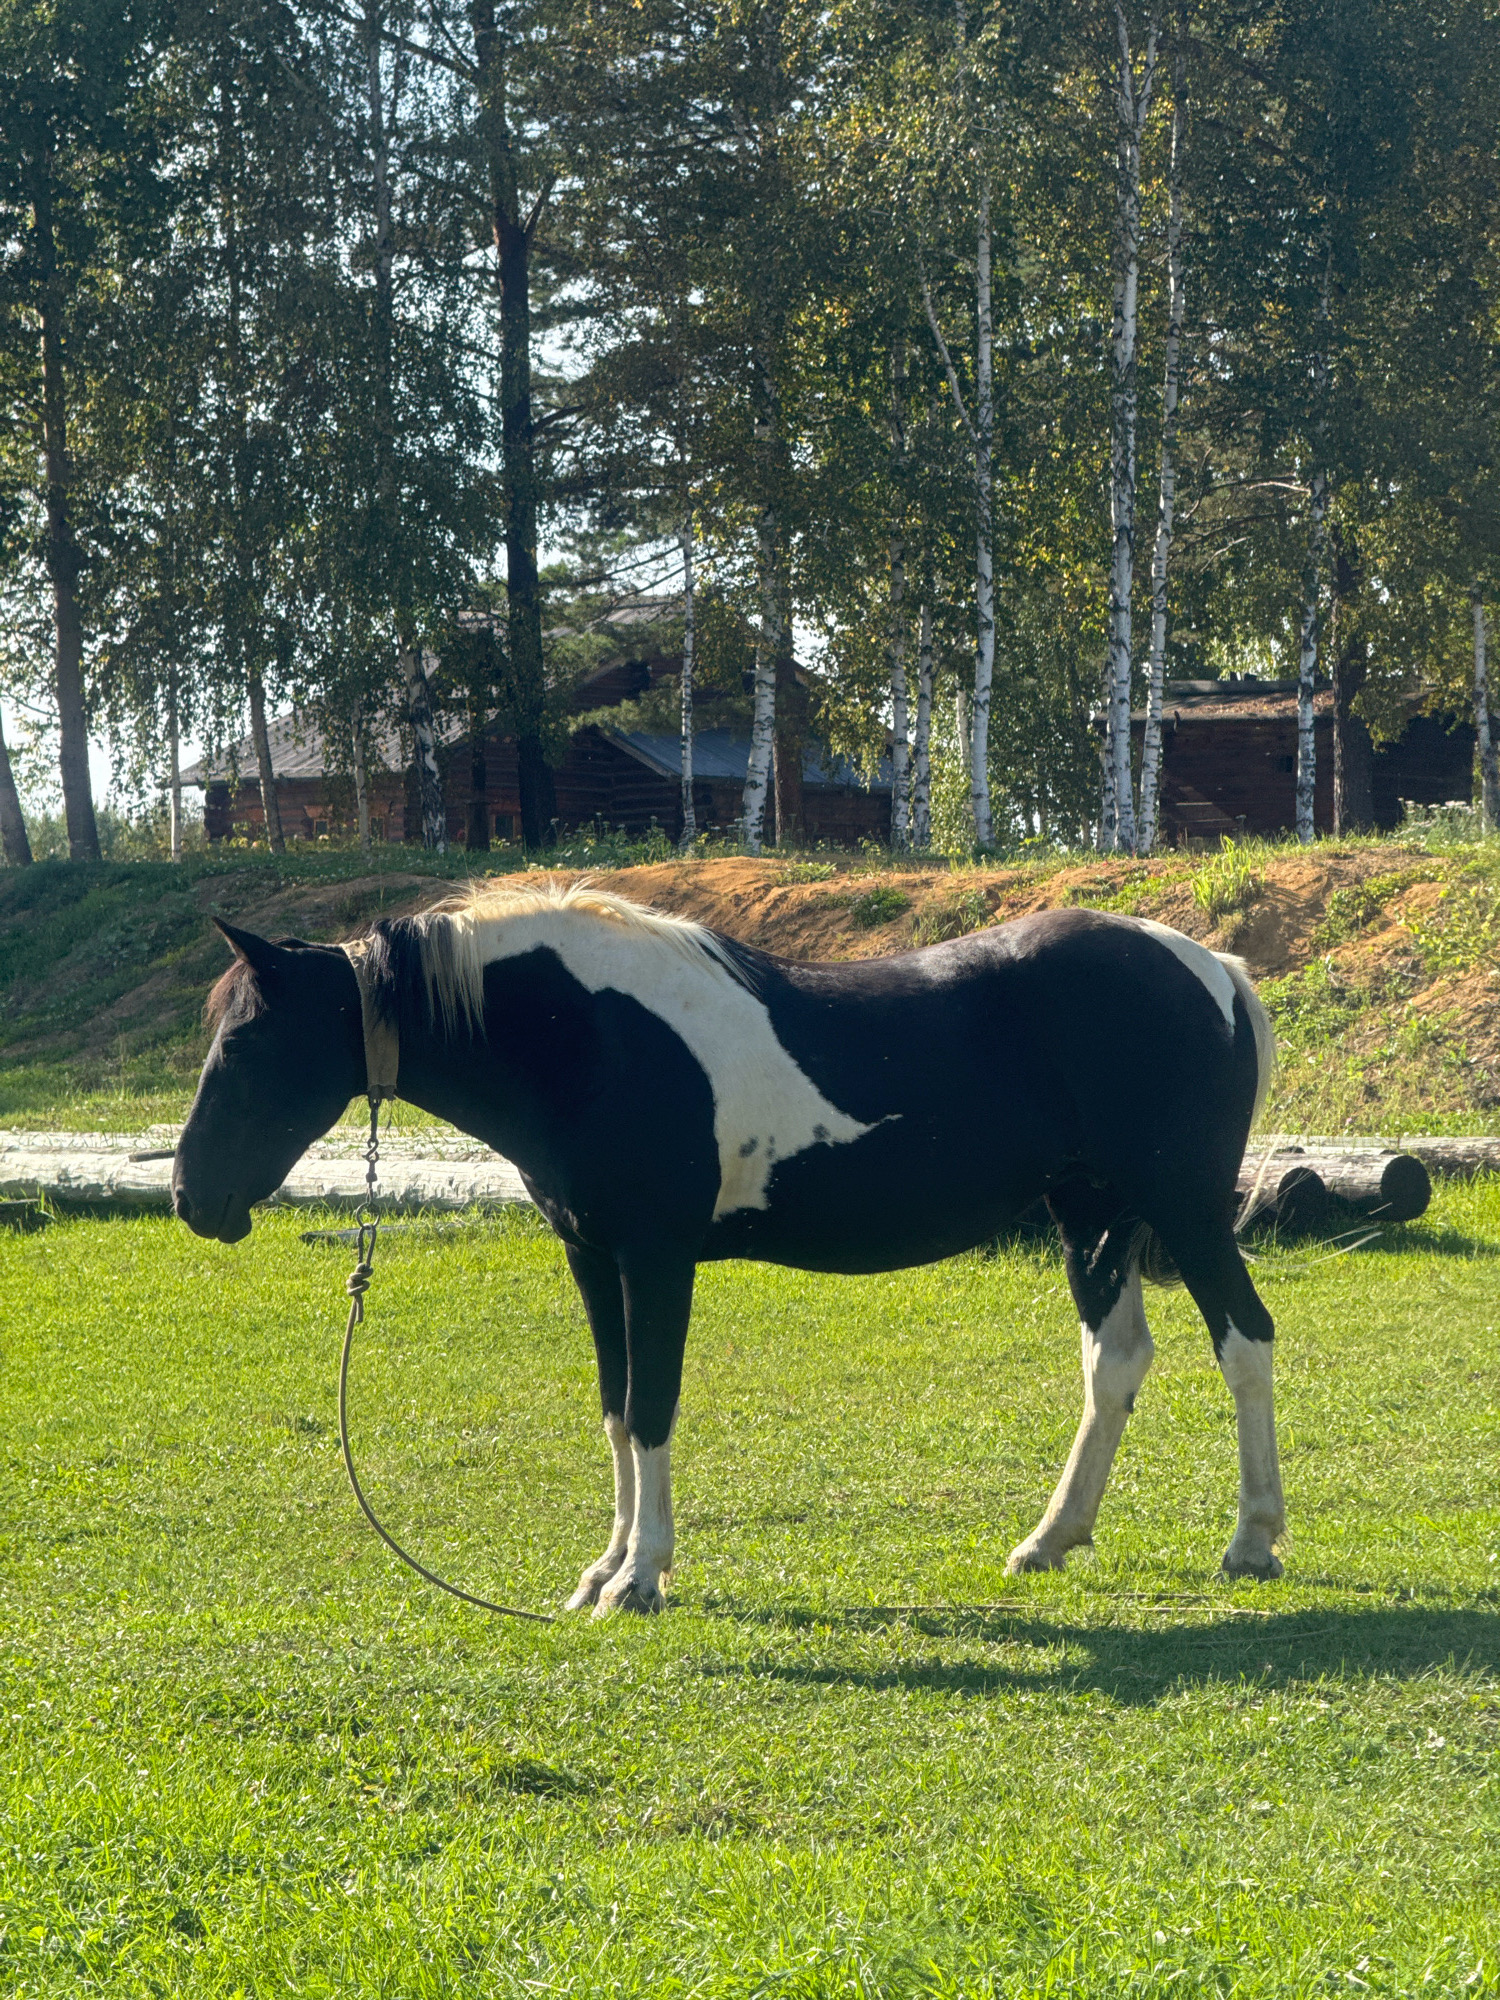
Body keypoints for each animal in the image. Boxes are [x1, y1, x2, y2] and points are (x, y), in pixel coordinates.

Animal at [172, 878, 1284, 1615]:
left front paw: (640, 1577)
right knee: (1115, 1363)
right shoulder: (593, 1259)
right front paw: (604, 1568)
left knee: (1245, 1341)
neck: (591, 1036)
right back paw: (1050, 1540)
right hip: (1091, 1215)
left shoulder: (655, 1260)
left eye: (247, 1040)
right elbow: (616, 1408)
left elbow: (653, 1408)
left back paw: (1252, 1542)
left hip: (1183, 1209)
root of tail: (1211, 971)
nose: (191, 1196)